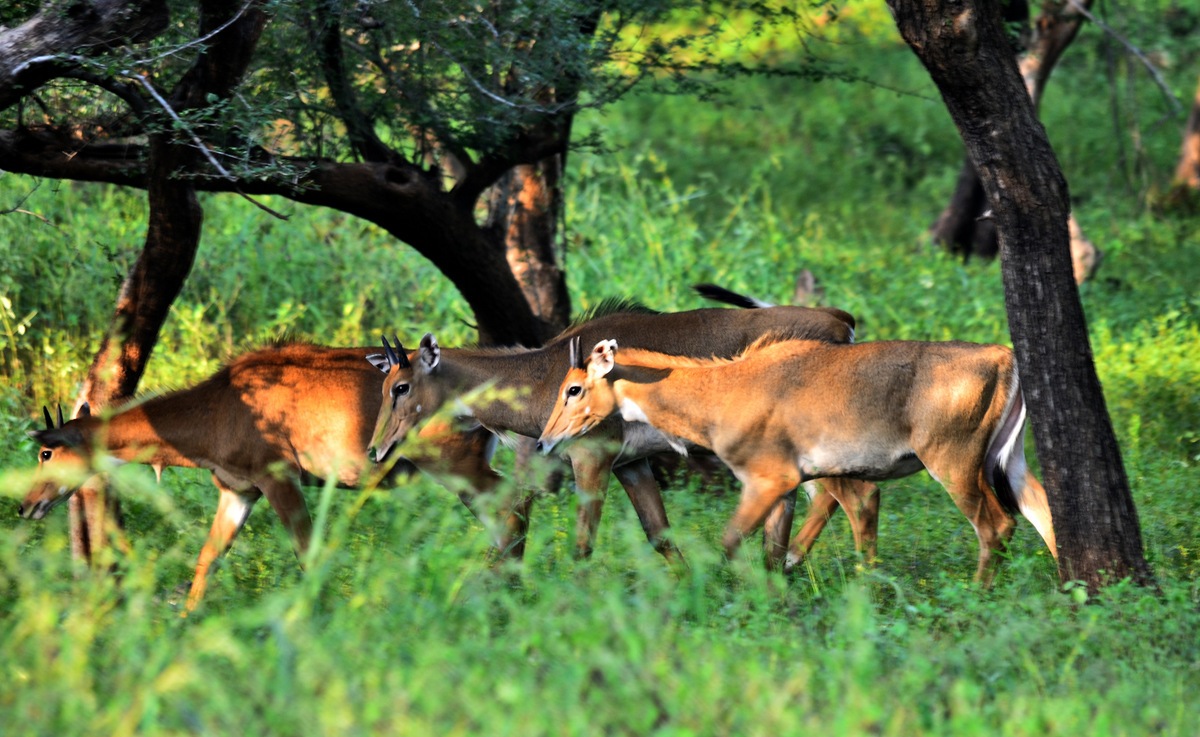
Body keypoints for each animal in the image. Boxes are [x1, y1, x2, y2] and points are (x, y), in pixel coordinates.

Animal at [23, 345, 501, 612]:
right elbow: (208, 557)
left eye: (47, 452)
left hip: (456, 464)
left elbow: (309, 555)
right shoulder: (238, 491)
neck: (218, 408)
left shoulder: (279, 479)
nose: (26, 505)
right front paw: (186, 622)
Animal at [367, 297, 883, 568]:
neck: (542, 375)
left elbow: (581, 545)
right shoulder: (631, 464)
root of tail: (841, 320)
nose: (376, 450)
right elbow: (660, 536)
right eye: (384, 385)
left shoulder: (591, 458)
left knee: (856, 497)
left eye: (402, 386)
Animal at [540, 336, 1056, 583]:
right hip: (1009, 458)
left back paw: (978, 594)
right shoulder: (787, 488)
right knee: (1044, 510)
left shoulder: (768, 479)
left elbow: (729, 543)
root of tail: (1004, 358)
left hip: (953, 461)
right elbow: (771, 550)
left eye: (574, 388)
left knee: (996, 525)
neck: (721, 392)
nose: (546, 442)